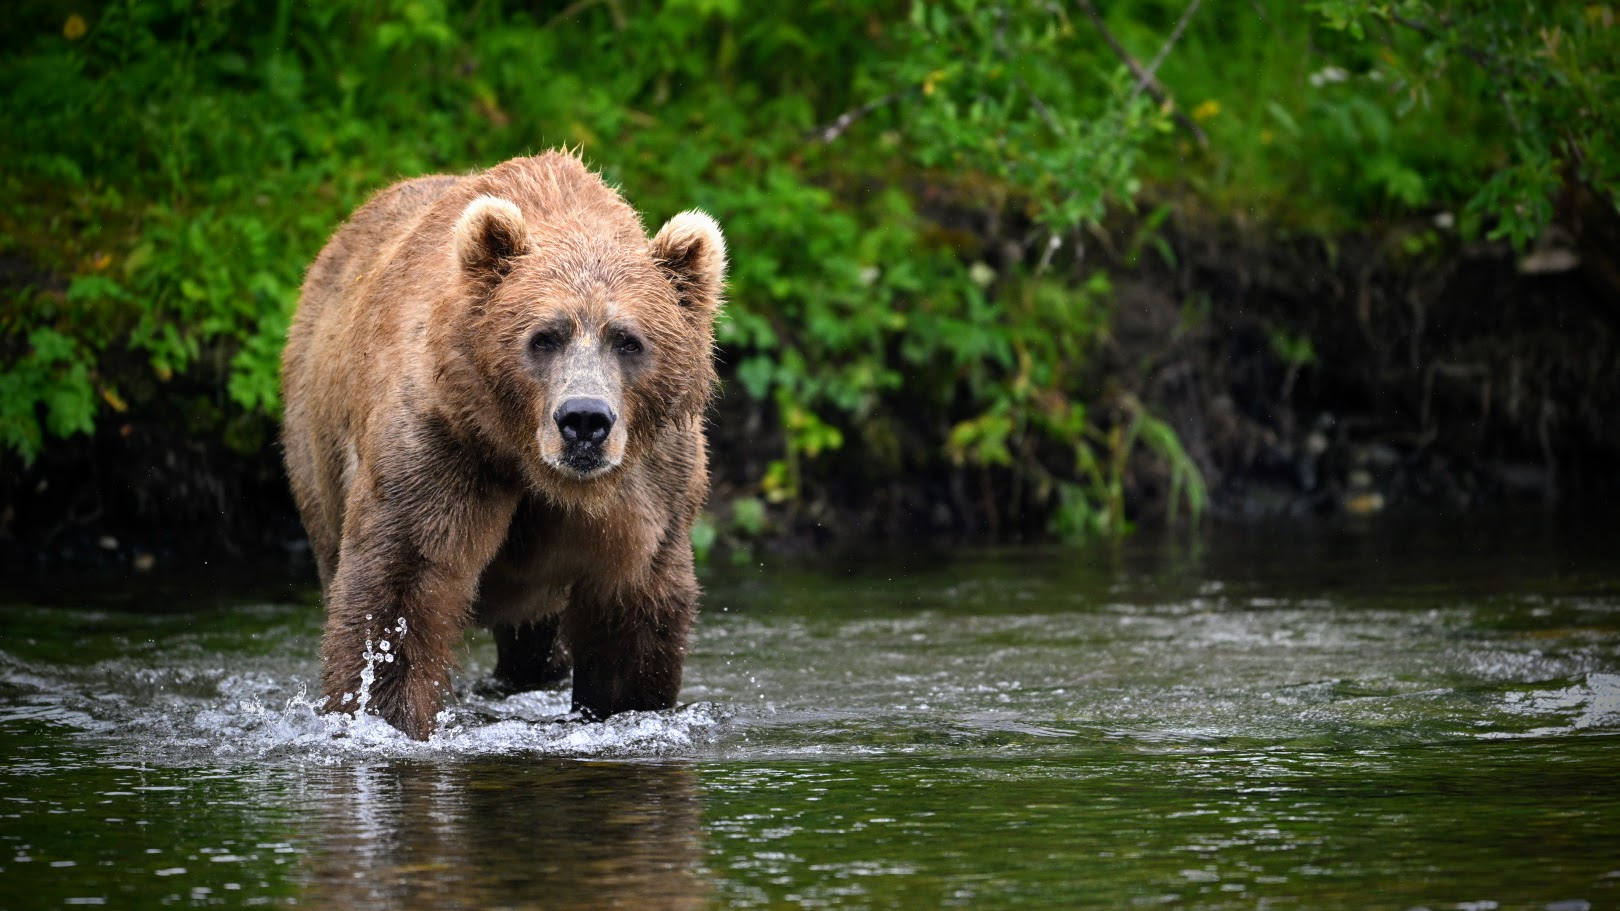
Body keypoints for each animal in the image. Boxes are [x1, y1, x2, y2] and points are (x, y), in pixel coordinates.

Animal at [280, 151, 726, 740]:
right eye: (544, 337)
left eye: (629, 340)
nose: (584, 420)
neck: (528, 463)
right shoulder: (444, 443)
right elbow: (399, 591)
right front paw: (385, 712)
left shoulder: (648, 485)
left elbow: (632, 611)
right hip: (315, 451)